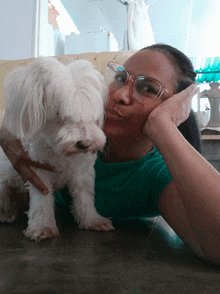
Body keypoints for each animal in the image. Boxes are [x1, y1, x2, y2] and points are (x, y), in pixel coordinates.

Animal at [0, 57, 113, 241]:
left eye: (90, 113)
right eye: (60, 114)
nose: (84, 143)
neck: (60, 152)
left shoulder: (82, 171)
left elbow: (84, 196)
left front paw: (92, 220)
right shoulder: (38, 171)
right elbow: (41, 201)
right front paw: (42, 227)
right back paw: (5, 213)